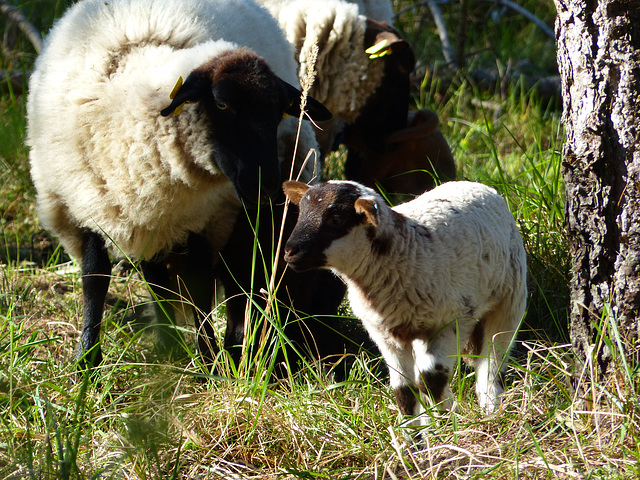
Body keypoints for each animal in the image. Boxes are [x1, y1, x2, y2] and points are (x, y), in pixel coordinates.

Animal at [25, 0, 332, 370]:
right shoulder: (83, 206)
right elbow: (95, 278)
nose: (267, 185)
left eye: (277, 113)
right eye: (222, 103)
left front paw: (210, 360)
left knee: (235, 279)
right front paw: (87, 359)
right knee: (161, 278)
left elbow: (200, 288)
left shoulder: (206, 220)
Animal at [282, 180, 528, 424]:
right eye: (300, 213)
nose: (290, 252)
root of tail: (479, 185)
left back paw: (491, 411)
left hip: (509, 302)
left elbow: (431, 379)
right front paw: (414, 433)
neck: (406, 248)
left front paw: (448, 420)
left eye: (336, 219)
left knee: (492, 364)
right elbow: (404, 391)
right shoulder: (385, 335)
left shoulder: (451, 320)